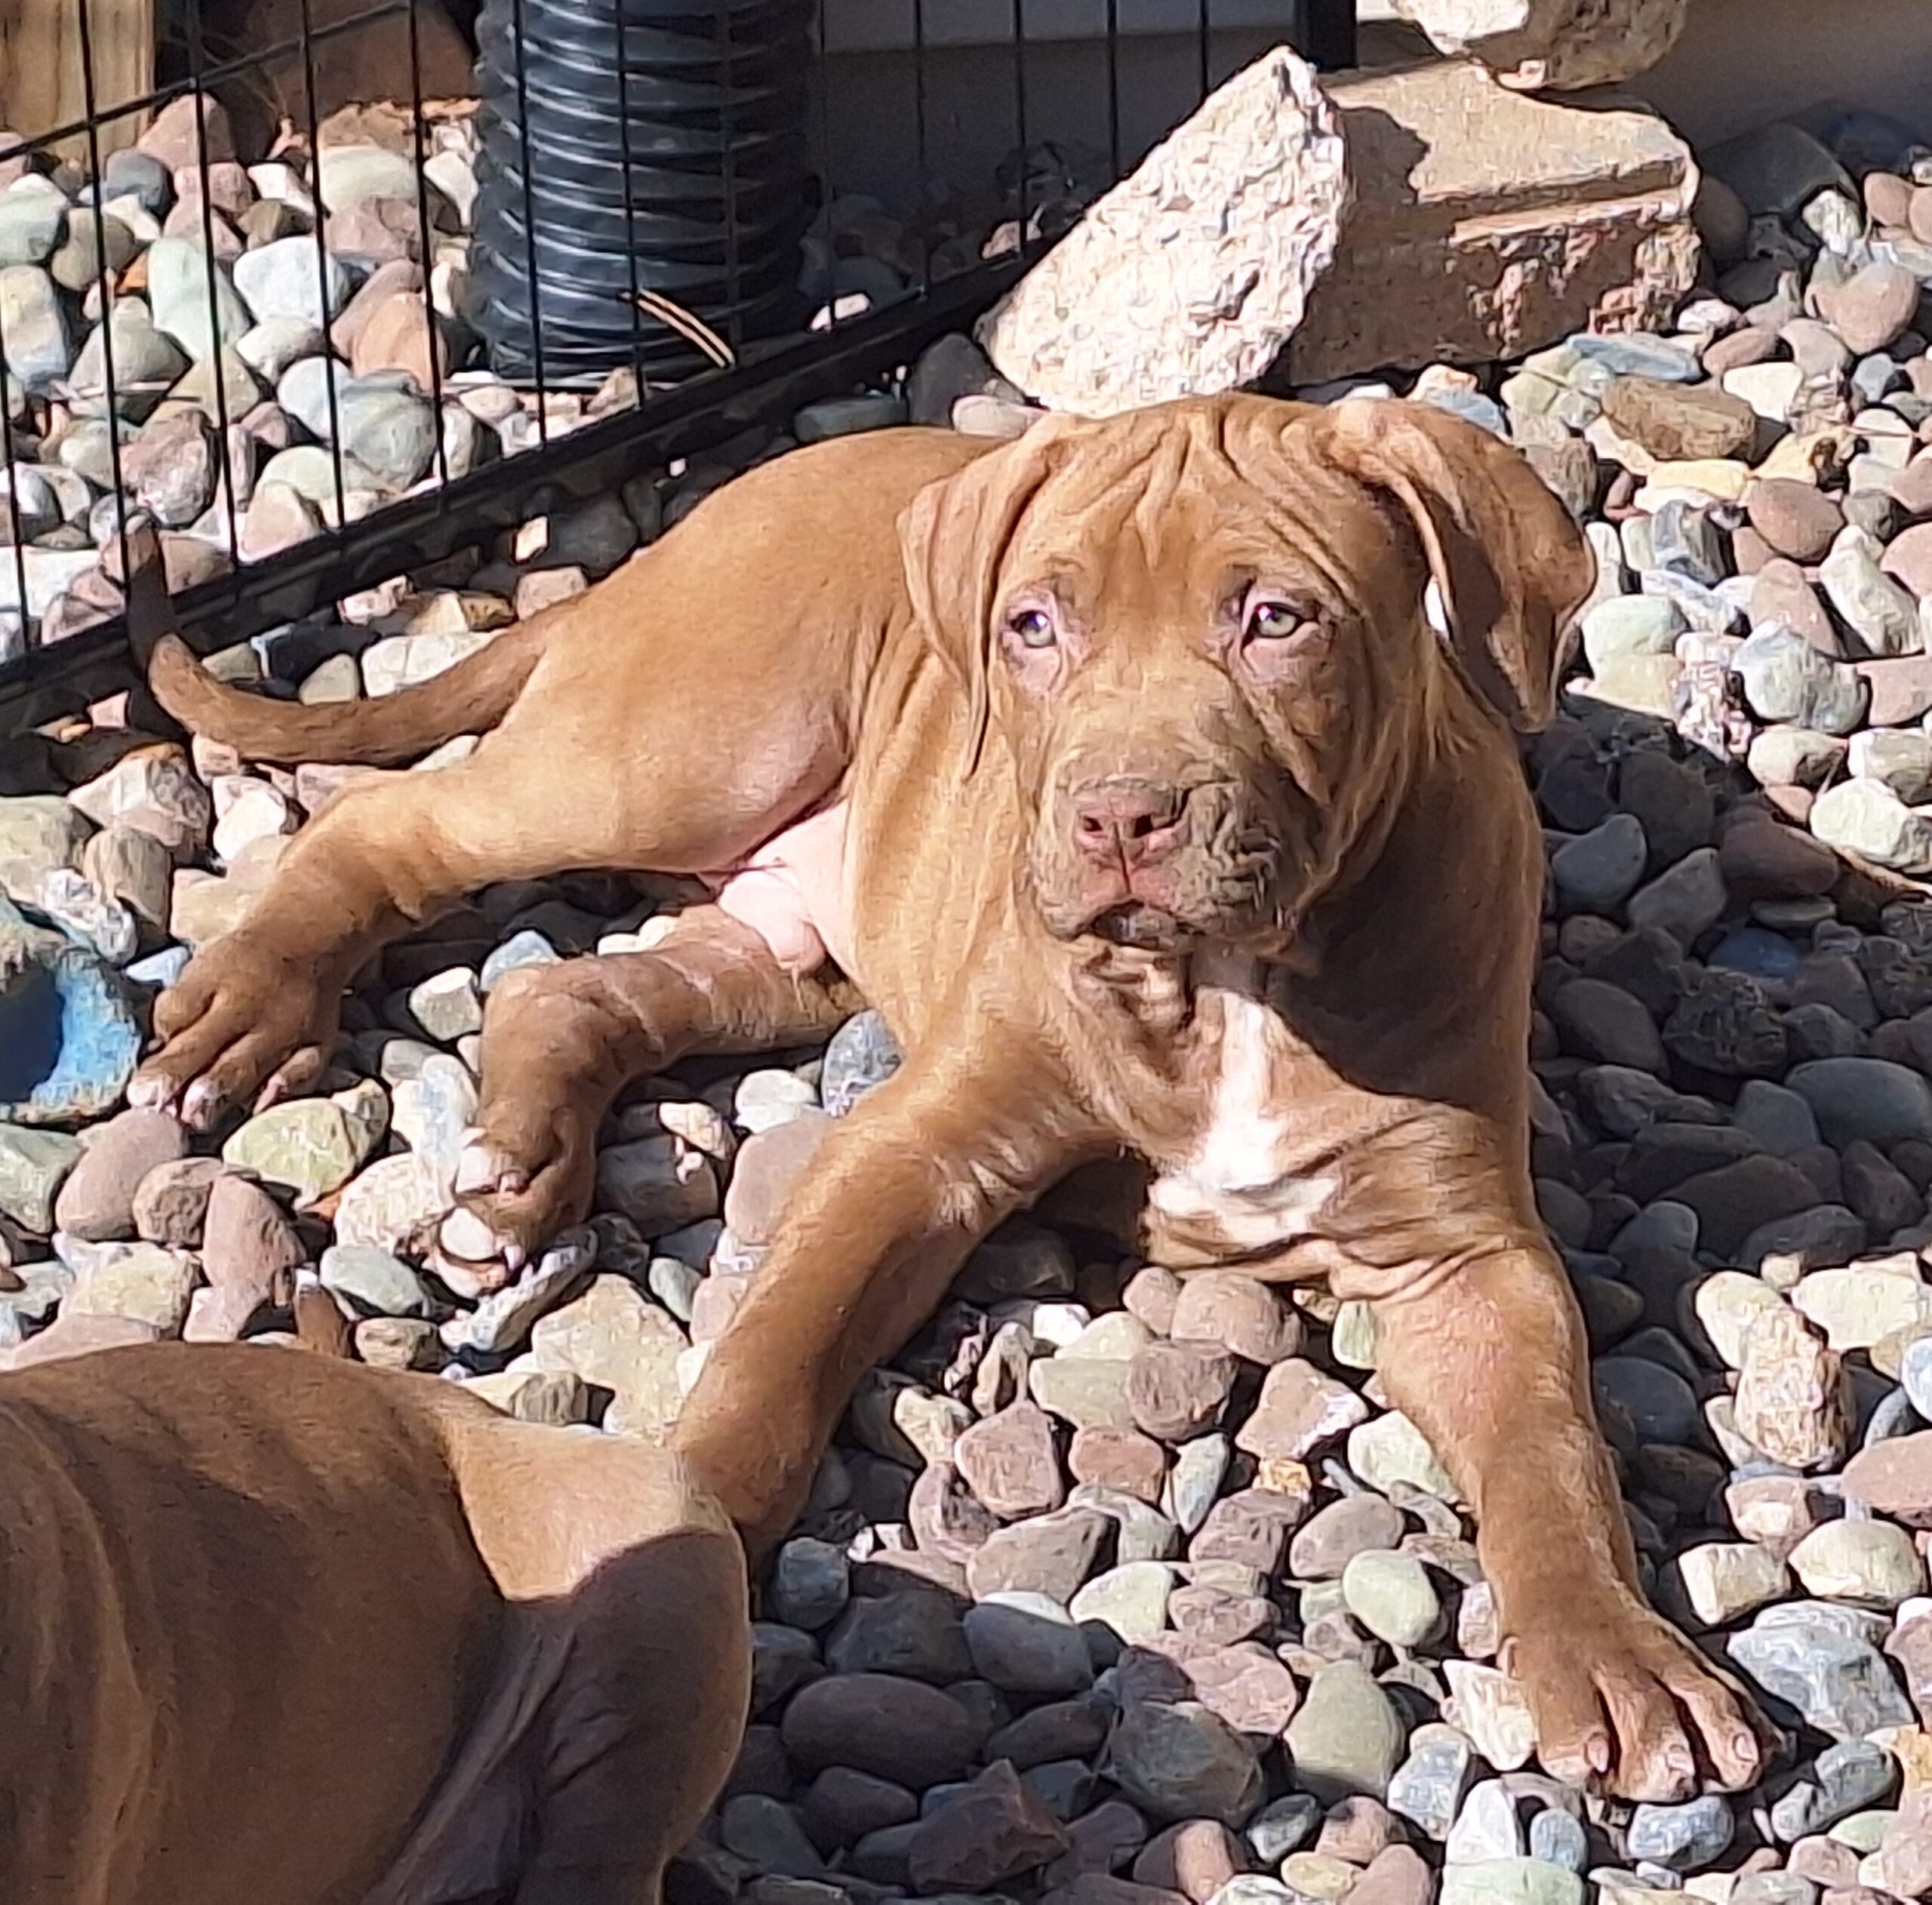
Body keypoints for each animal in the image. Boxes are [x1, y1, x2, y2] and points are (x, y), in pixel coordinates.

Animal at [130, 393, 1766, 1803]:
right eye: (1034, 626)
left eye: (1275, 618)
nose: (1119, 814)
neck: (1229, 980)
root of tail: (680, 530)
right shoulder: (921, 1148)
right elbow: (771, 1358)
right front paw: (677, 1538)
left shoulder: (1460, 1252)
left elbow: (1548, 1445)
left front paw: (1616, 1655)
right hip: (692, 745)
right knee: (391, 825)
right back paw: (250, 1008)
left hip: (787, 942)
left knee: (573, 990)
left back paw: (511, 1175)